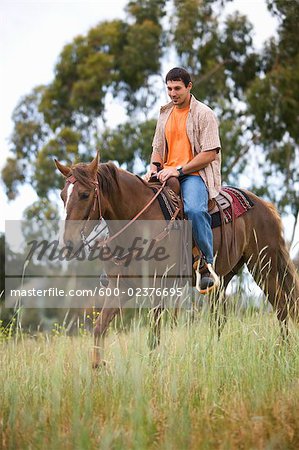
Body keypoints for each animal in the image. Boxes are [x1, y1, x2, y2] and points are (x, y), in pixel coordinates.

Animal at [55, 153, 299, 368]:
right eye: (62, 195)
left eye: (85, 194)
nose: (69, 243)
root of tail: (264, 205)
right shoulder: (121, 288)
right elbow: (99, 327)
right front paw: (98, 366)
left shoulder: (158, 287)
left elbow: (153, 335)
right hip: (223, 279)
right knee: (219, 319)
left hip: (264, 265)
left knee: (282, 307)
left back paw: (283, 350)